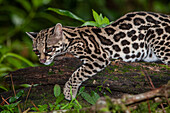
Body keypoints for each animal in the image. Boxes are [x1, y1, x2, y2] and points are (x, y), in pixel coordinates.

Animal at [25, 11, 169, 100]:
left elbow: (78, 73)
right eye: (36, 51)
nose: (42, 60)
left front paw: (69, 90)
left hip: (155, 36)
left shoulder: (99, 56)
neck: (71, 37)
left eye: (48, 48)